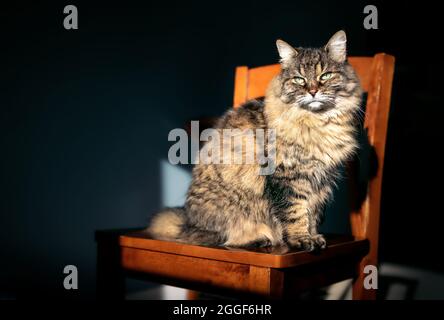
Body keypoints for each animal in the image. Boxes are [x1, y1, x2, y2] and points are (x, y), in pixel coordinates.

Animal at [147, 30, 362, 251]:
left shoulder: (321, 182)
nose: (312, 91)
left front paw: (314, 236)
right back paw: (259, 239)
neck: (318, 122)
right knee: (224, 237)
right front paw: (301, 240)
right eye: (299, 80)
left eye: (325, 75)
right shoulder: (287, 178)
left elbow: (312, 215)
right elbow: (296, 213)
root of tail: (187, 223)